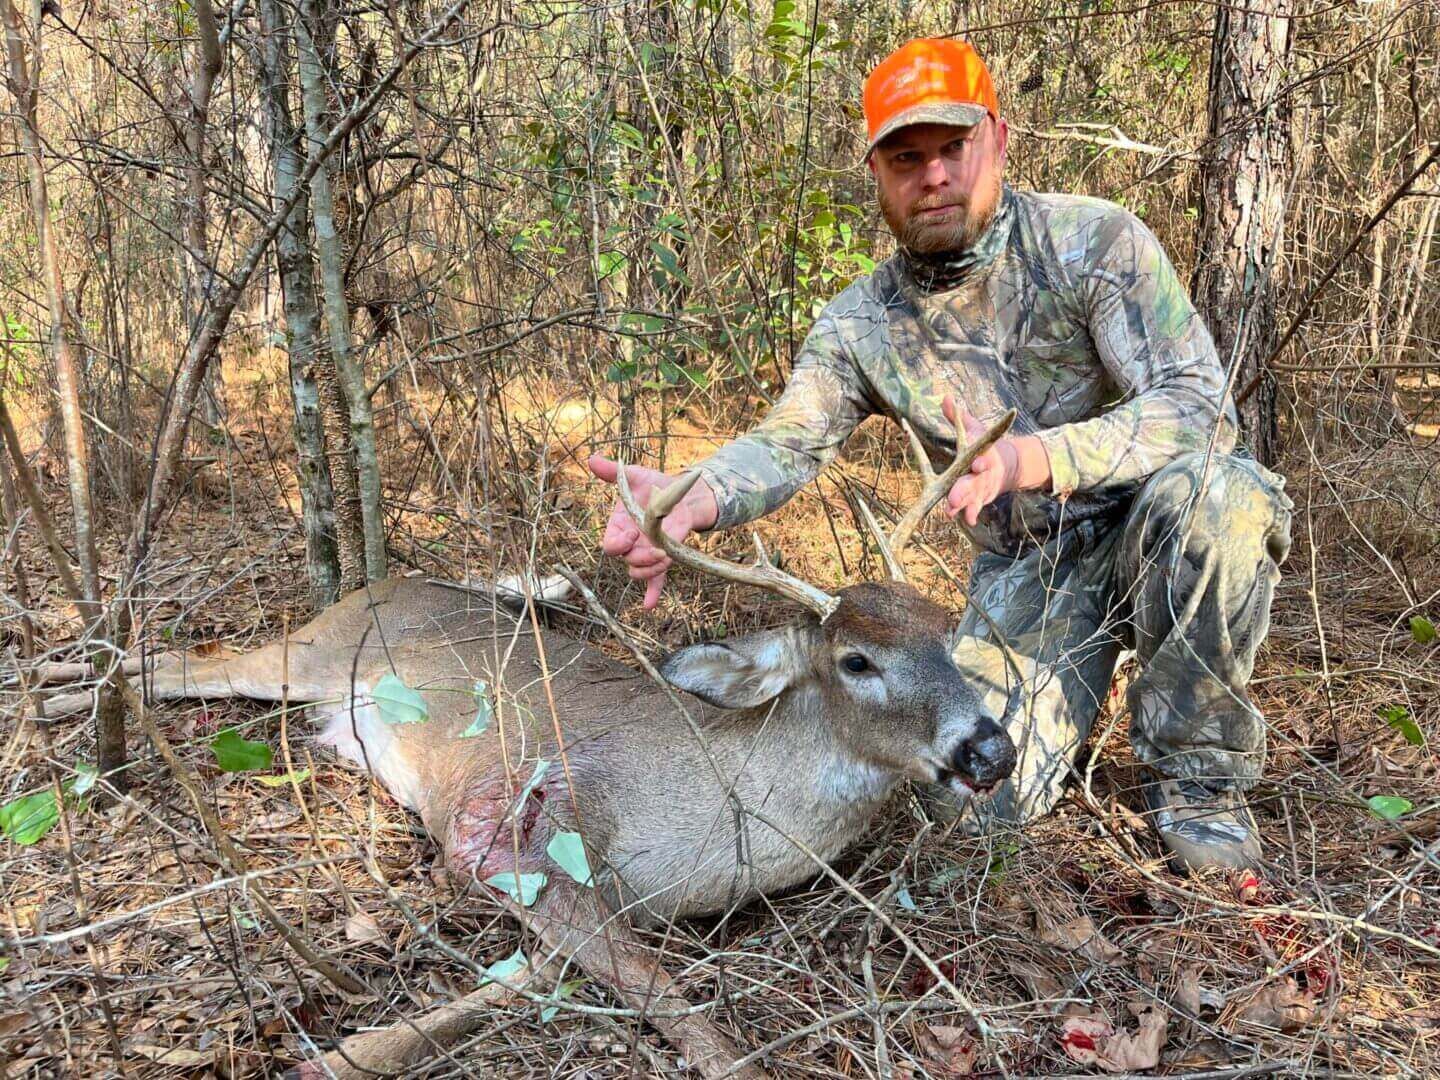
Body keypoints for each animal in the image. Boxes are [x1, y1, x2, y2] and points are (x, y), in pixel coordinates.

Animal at [36, 413, 1018, 1079]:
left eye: (949, 639)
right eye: (858, 660)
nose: (991, 751)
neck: (720, 826)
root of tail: (391, 580)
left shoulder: (615, 903)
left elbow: (532, 981)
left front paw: (350, 1053)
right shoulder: (515, 827)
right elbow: (675, 1003)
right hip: (307, 654)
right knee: (185, 661)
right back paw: (62, 688)